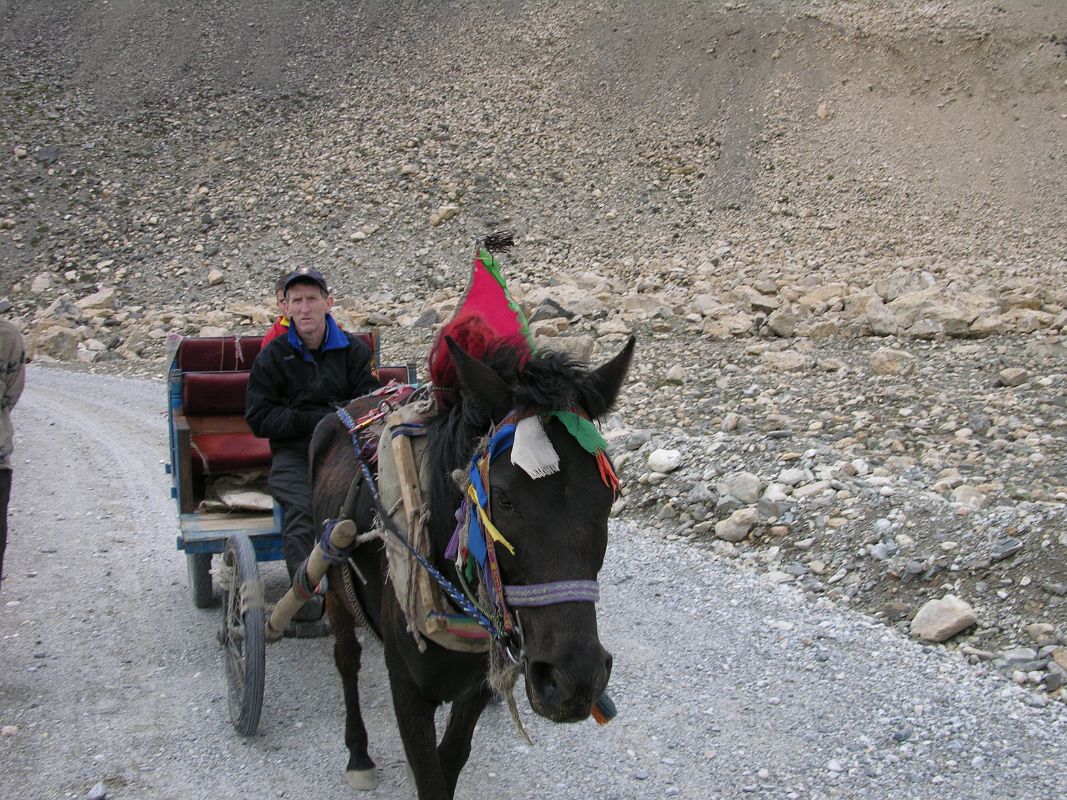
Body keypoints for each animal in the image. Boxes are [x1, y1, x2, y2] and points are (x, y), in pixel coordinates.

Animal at [309, 332, 635, 800]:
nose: (574, 681)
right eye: (501, 497)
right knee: (347, 659)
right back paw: (358, 752)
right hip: (332, 581)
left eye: (610, 496)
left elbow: (451, 762)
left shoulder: (477, 686)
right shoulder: (407, 688)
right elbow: (428, 775)